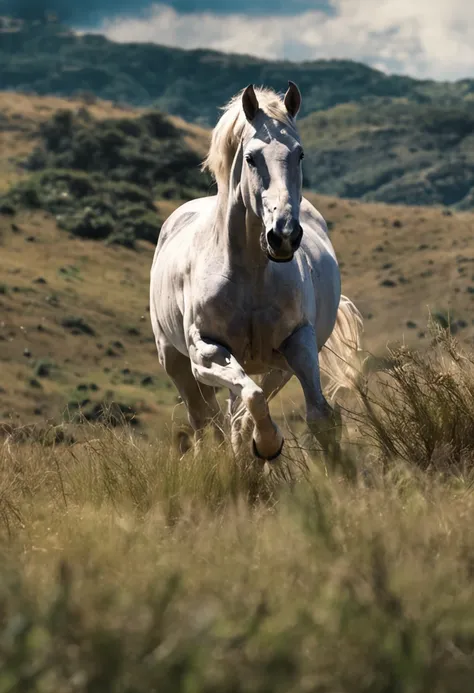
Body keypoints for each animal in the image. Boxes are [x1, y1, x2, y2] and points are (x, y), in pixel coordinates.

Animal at [151, 81, 362, 462]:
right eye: (251, 157)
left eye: (299, 154)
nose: (284, 235)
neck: (249, 275)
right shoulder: (206, 352)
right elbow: (251, 399)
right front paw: (267, 444)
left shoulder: (298, 342)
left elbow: (319, 416)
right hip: (176, 362)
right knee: (206, 421)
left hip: (273, 367)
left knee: (234, 413)